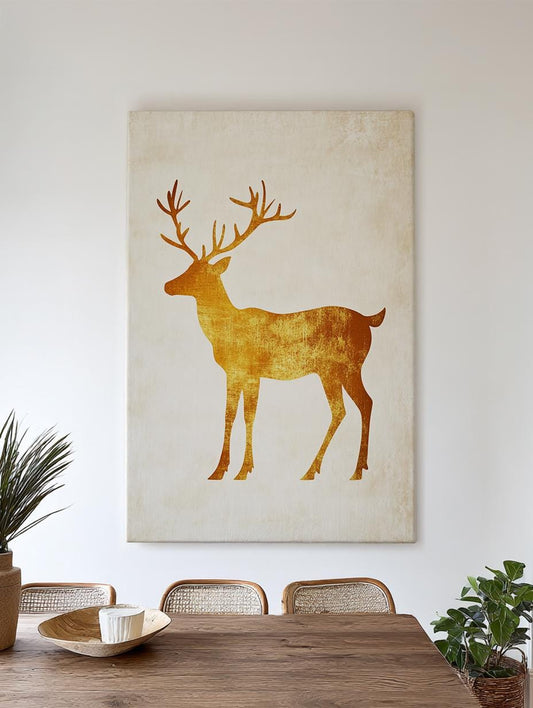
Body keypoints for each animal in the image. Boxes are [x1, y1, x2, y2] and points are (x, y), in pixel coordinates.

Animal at [157, 179, 385, 481]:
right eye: (187, 266)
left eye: (200, 273)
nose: (167, 285)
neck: (226, 332)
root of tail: (370, 319)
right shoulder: (235, 372)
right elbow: (230, 414)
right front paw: (221, 470)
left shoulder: (251, 370)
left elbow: (247, 415)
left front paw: (241, 470)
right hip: (331, 370)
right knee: (346, 408)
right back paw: (321, 469)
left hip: (347, 365)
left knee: (361, 403)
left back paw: (350, 470)